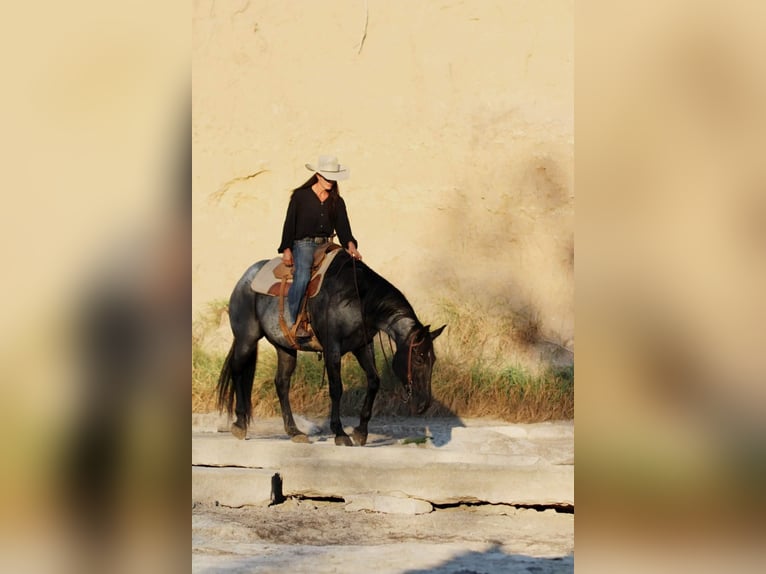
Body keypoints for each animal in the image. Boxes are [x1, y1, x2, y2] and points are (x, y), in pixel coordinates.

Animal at [216, 250, 448, 448]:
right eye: (419, 359)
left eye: (433, 360)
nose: (423, 404)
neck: (357, 298)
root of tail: (245, 278)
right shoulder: (332, 348)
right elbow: (336, 388)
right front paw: (340, 433)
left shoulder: (362, 346)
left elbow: (374, 381)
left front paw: (361, 432)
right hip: (246, 339)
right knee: (237, 371)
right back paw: (240, 425)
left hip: (285, 347)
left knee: (281, 383)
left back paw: (294, 432)